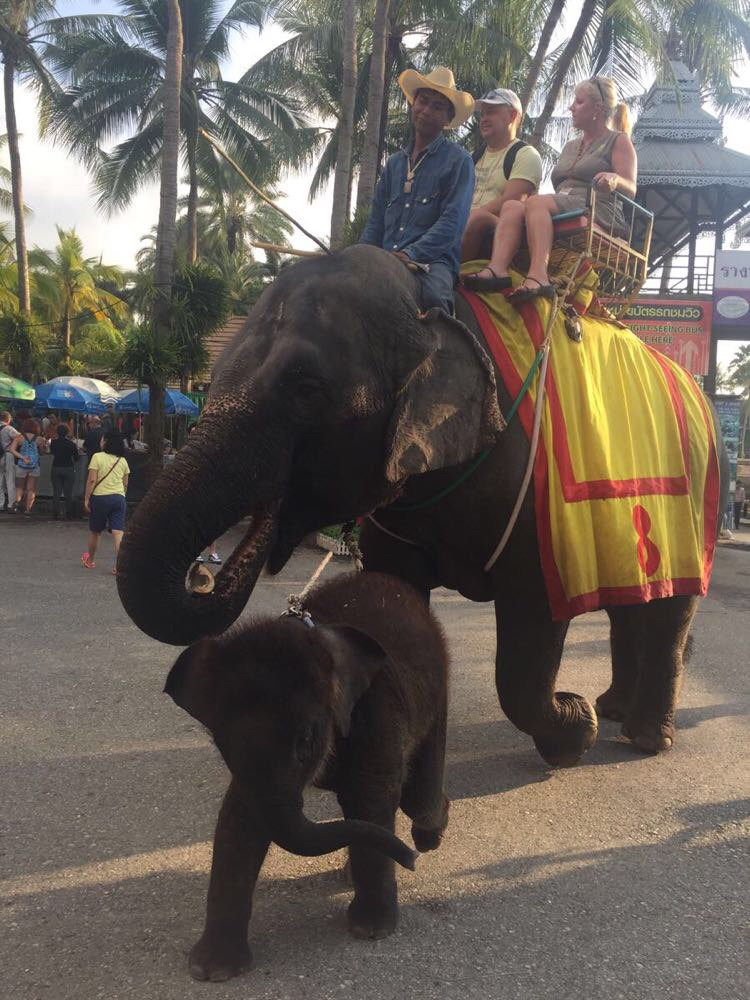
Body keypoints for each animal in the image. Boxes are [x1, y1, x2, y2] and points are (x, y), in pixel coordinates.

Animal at [119, 244, 728, 764]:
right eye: (216, 376)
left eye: (306, 389)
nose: (203, 570)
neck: (431, 302)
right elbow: (393, 602)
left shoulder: (538, 505)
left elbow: (528, 640)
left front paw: (573, 731)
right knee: (634, 604)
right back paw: (614, 709)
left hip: (697, 502)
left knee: (671, 611)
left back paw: (644, 737)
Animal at [167, 572, 450, 984]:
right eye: (221, 746)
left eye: (304, 740)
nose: (409, 860)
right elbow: (238, 817)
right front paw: (212, 970)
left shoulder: (377, 712)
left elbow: (370, 799)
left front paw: (371, 931)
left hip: (438, 684)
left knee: (420, 800)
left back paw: (429, 836)